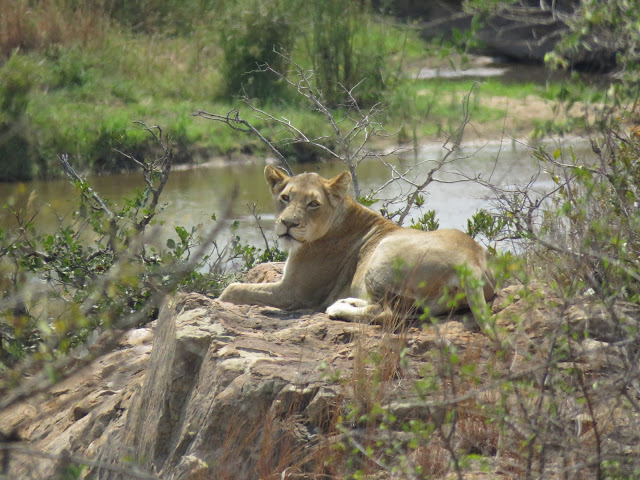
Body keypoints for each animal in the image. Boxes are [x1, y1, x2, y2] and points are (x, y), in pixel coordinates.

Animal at [220, 166, 496, 330]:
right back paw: (347, 300)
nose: (288, 223)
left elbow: (233, 289)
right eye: (285, 198)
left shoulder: (295, 293)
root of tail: (472, 261)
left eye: (313, 204)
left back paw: (337, 308)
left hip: (384, 250)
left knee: (388, 314)